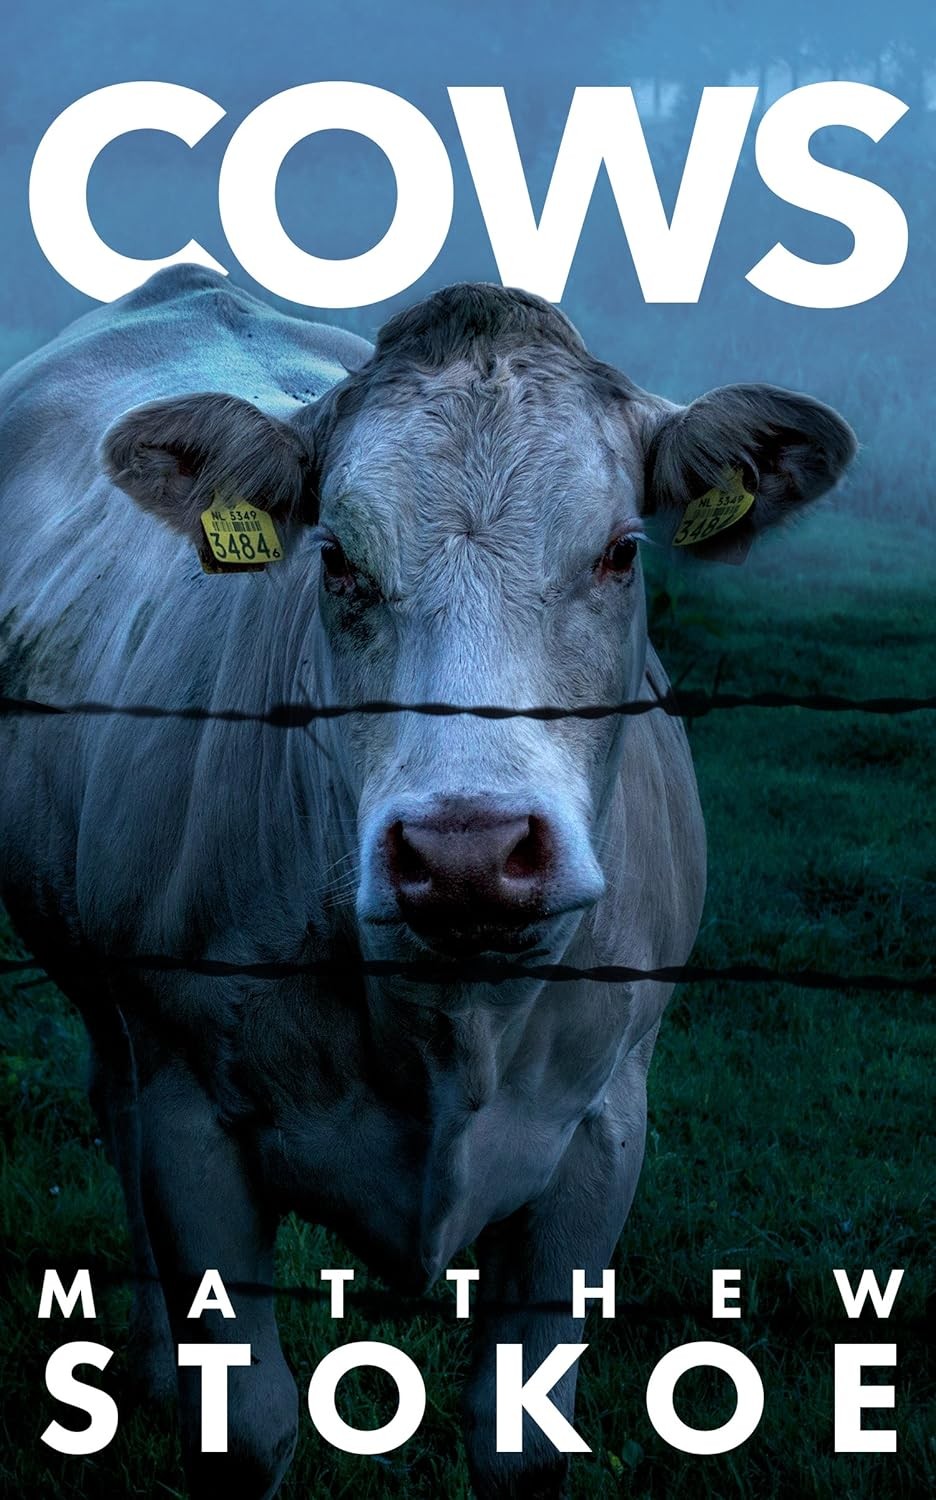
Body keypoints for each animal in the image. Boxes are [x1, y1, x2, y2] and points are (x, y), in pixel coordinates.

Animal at [0, 266, 855, 1498]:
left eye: (621, 551)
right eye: (335, 559)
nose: (467, 851)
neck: (447, 1021)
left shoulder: (603, 1131)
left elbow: (520, 1443)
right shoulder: (193, 1121)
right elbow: (248, 1426)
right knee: (114, 1109)